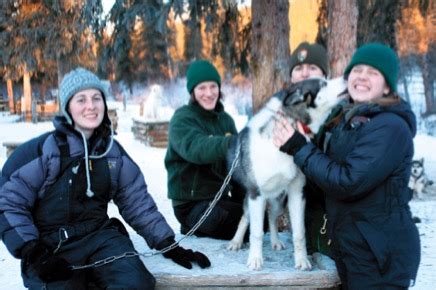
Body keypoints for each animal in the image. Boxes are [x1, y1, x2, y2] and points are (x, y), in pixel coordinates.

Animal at [227, 77, 346, 272]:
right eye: (323, 84)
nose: (345, 77)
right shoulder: (256, 194)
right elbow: (256, 232)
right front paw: (255, 259)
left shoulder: (297, 193)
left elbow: (299, 233)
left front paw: (302, 260)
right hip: (253, 200)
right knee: (245, 218)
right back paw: (236, 241)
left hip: (278, 201)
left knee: (272, 217)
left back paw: (275, 241)